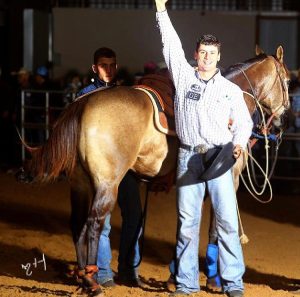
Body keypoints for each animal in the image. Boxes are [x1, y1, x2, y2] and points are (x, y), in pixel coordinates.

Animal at [22, 45, 290, 294]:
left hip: (80, 183)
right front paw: (214, 281)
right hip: (107, 184)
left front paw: (175, 276)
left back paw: (84, 277)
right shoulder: (228, 180)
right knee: (94, 224)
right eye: (288, 81)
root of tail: (84, 104)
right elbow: (215, 227)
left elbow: (184, 227)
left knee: (77, 224)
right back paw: (93, 281)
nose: (281, 123)